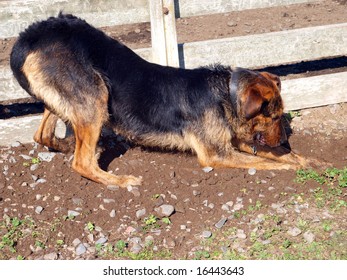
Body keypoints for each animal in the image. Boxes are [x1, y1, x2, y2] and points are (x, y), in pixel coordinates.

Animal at [8, 13, 318, 188]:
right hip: (96, 94)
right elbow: (267, 161)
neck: (225, 94)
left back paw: (68, 145)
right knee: (81, 162)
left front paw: (309, 160)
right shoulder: (216, 153)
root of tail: (29, 36)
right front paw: (290, 165)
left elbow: (275, 155)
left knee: (43, 134)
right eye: (274, 117)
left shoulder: (232, 140)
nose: (284, 140)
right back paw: (118, 180)